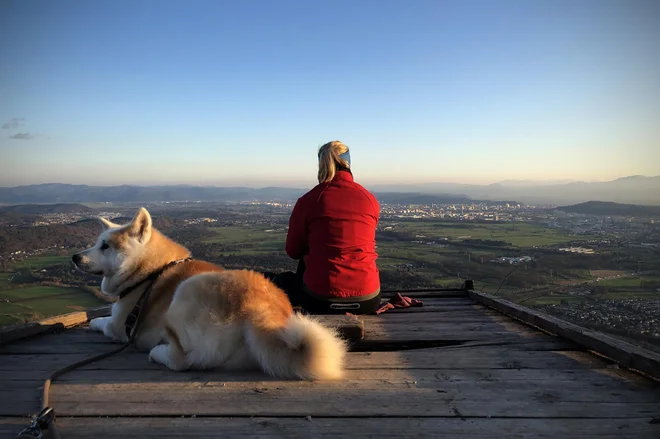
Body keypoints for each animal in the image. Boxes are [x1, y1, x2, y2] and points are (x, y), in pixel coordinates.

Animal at [72, 208, 348, 380]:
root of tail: (260, 308)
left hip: (184, 293)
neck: (150, 270)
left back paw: (158, 352)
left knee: (181, 360)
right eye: (96, 242)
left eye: (105, 246)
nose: (75, 257)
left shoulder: (120, 325)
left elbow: (104, 322)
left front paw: (94, 323)